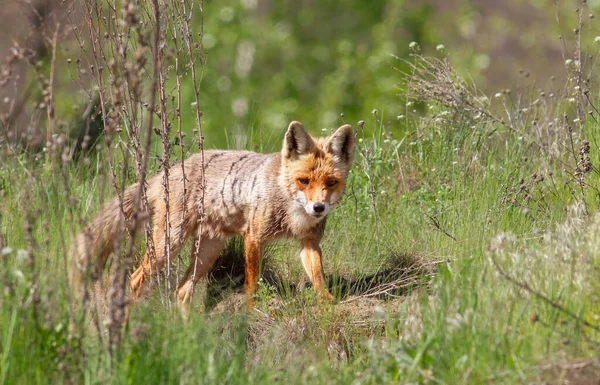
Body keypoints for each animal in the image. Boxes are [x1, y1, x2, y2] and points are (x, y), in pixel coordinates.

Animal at [70, 121, 354, 310]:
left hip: (207, 252)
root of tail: (169, 172)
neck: (290, 207)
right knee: (134, 281)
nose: (318, 208)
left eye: (330, 183)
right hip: (168, 246)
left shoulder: (309, 243)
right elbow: (252, 283)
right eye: (304, 181)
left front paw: (327, 300)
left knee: (181, 292)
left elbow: (318, 276)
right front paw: (250, 311)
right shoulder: (254, 237)